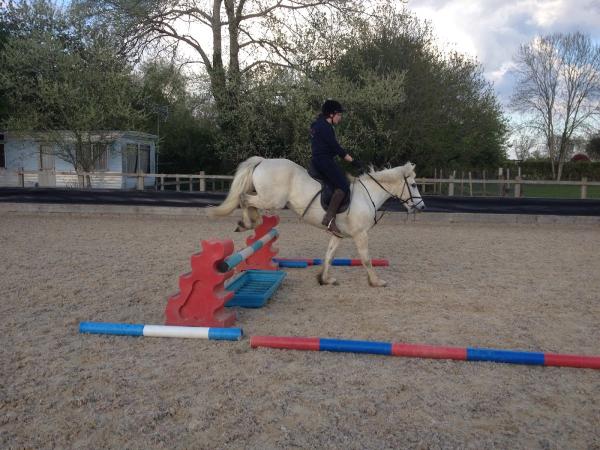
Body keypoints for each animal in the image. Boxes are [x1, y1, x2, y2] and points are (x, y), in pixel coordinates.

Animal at [209, 156, 424, 286]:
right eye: (413, 185)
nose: (421, 206)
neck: (367, 195)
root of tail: (263, 161)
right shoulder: (360, 235)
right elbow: (366, 259)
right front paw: (376, 281)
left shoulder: (338, 235)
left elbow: (329, 255)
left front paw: (325, 279)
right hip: (272, 200)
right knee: (244, 199)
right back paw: (249, 223)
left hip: (266, 197)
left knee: (246, 199)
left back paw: (249, 222)